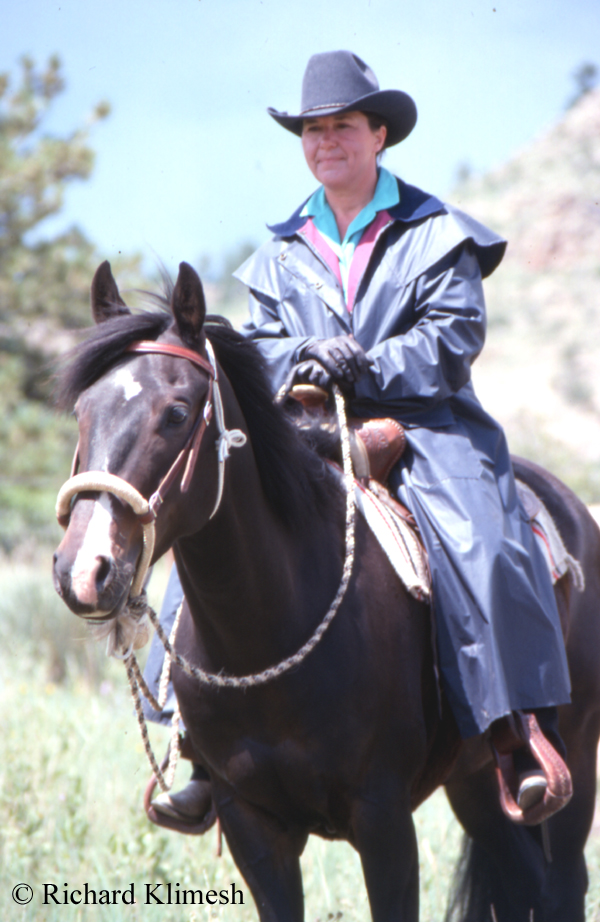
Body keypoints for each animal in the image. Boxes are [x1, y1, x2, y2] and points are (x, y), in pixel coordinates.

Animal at [52, 260, 600, 921]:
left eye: (177, 414)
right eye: (83, 411)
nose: (85, 569)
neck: (271, 633)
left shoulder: (384, 820)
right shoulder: (251, 824)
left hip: (576, 763)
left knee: (561, 884)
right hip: (475, 784)